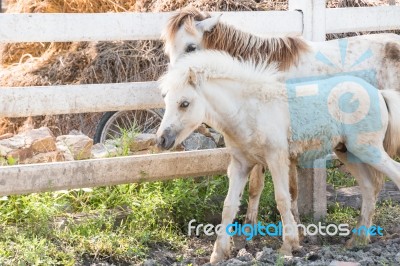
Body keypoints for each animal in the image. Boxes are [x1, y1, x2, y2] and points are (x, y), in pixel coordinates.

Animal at [161, 6, 400, 247]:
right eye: (168, 51)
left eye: (191, 47)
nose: (170, 81)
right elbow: (257, 187)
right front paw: (250, 230)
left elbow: (287, 189)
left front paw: (294, 231)